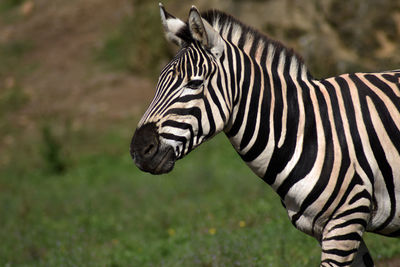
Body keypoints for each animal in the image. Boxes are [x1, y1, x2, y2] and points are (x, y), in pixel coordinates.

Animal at [130, 4, 400, 267]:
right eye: (159, 83)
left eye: (194, 84)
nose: (138, 151)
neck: (307, 131)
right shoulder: (330, 228)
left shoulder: (346, 219)